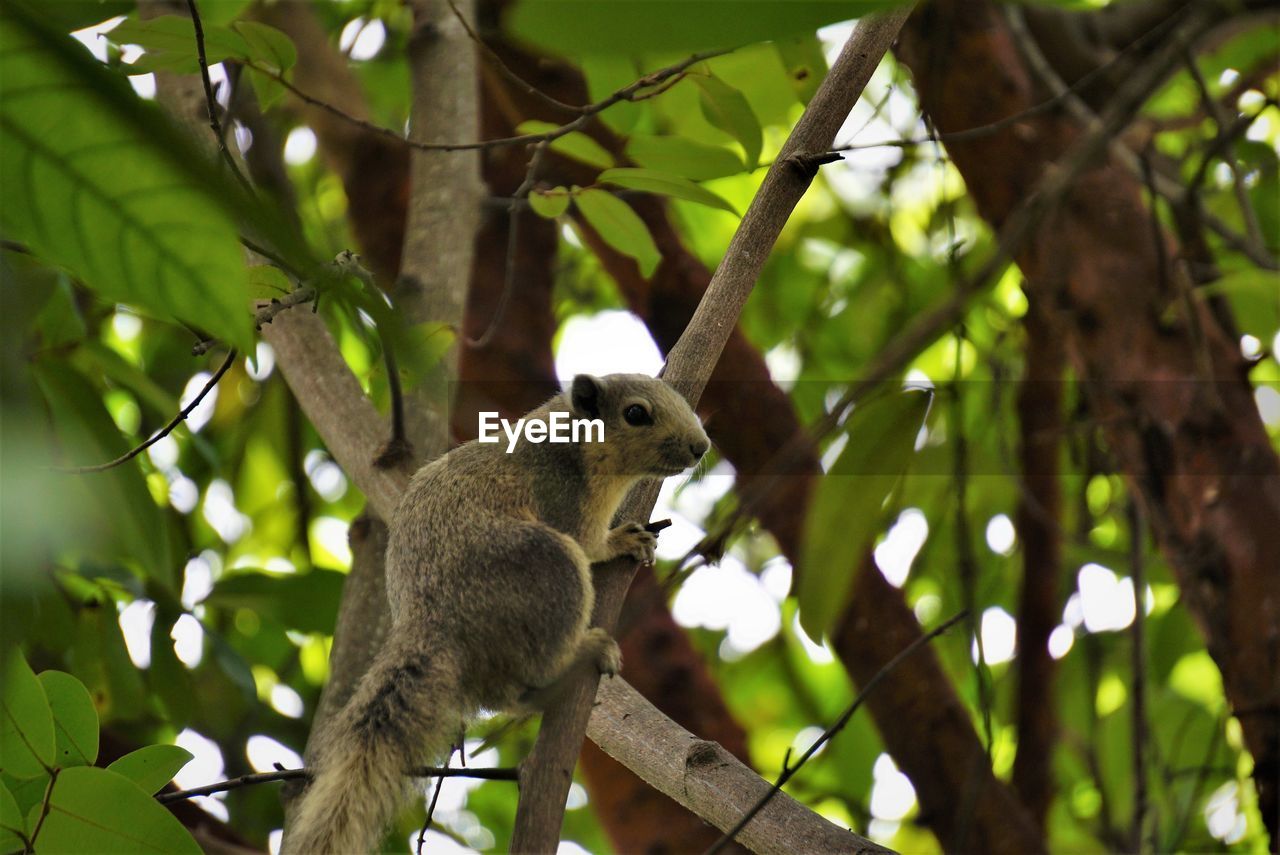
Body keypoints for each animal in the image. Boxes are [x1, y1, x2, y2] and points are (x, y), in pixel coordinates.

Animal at [285, 373, 711, 855]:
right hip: (546, 565)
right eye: (636, 414)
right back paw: (582, 657)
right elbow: (589, 543)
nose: (701, 447)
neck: (575, 440)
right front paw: (621, 540)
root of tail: (431, 622)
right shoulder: (562, 497)